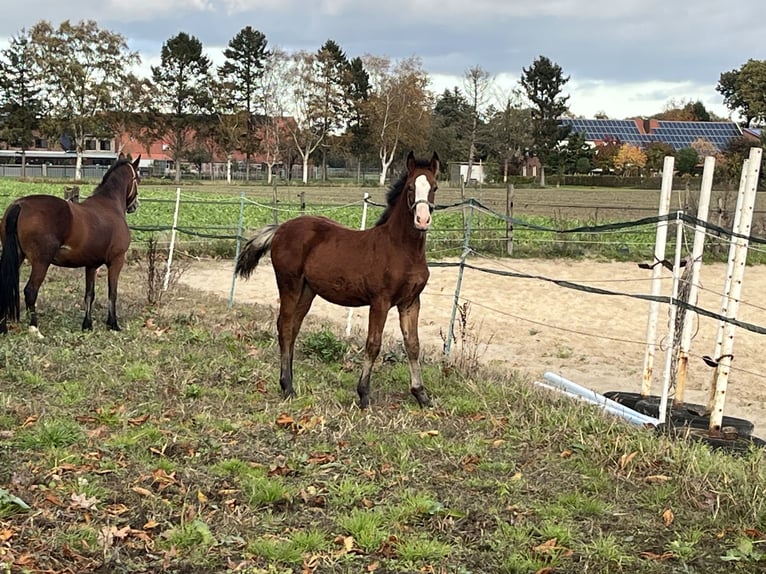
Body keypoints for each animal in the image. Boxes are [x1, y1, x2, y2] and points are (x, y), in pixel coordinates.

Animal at [0, 155, 141, 336]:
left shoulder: (91, 265)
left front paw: (87, 325)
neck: (110, 205)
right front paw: (113, 324)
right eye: (138, 178)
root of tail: (20, 204)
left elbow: (89, 294)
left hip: (16, 256)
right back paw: (35, 328)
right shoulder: (117, 261)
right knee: (30, 291)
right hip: (41, 263)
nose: (134, 205)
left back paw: (3, 328)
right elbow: (112, 292)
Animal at [236, 151, 440, 408]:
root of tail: (281, 228)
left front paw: (421, 395)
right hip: (289, 284)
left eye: (435, 187)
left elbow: (413, 345)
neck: (402, 249)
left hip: (307, 290)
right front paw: (363, 394)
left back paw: (289, 383)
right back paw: (287, 387)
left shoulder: (411, 302)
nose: (422, 220)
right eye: (411, 187)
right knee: (284, 326)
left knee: (294, 328)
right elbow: (373, 344)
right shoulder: (380, 301)